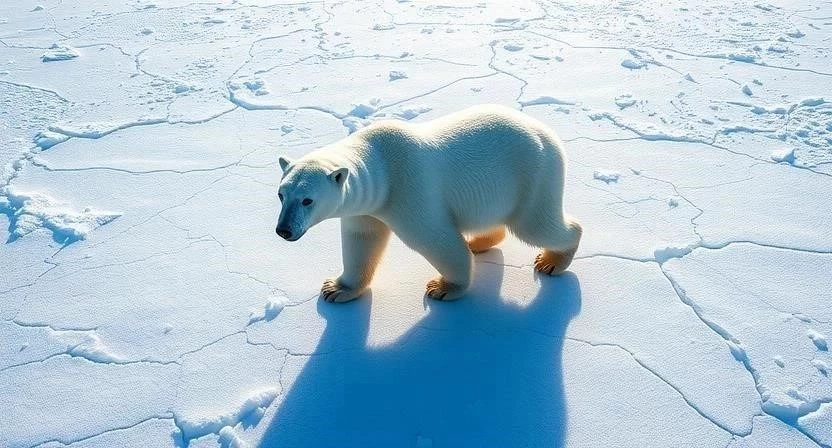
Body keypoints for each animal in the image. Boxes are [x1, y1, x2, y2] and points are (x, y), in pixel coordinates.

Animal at [275, 104, 582, 302]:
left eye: (307, 200)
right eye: (281, 195)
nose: (284, 230)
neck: (381, 163)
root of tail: (547, 133)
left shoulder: (408, 190)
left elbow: (435, 239)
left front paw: (443, 287)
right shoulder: (365, 207)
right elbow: (361, 240)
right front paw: (337, 289)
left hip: (534, 176)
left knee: (536, 225)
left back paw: (552, 260)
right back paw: (478, 242)